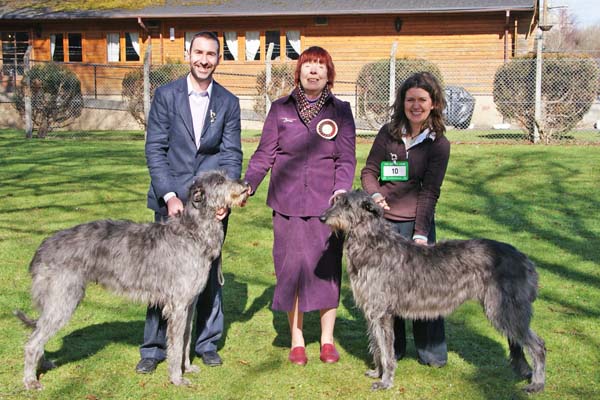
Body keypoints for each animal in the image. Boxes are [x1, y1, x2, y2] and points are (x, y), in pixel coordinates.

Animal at [14, 170, 248, 390]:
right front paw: (177, 378)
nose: (246, 183)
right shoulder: (178, 305)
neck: (192, 233)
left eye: (225, 175)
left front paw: (187, 368)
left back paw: (42, 365)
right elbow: (176, 345)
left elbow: (186, 339)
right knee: (32, 342)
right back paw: (30, 380)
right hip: (63, 299)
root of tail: (42, 248)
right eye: (219, 181)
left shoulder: (189, 304)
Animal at [322, 191, 548, 394]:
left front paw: (385, 381)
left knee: (539, 346)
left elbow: (386, 350)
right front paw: (377, 373)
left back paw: (537, 384)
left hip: (504, 310)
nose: (322, 217)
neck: (373, 243)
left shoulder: (381, 312)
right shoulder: (373, 311)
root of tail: (525, 260)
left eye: (347, 204)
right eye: (336, 201)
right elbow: (377, 345)